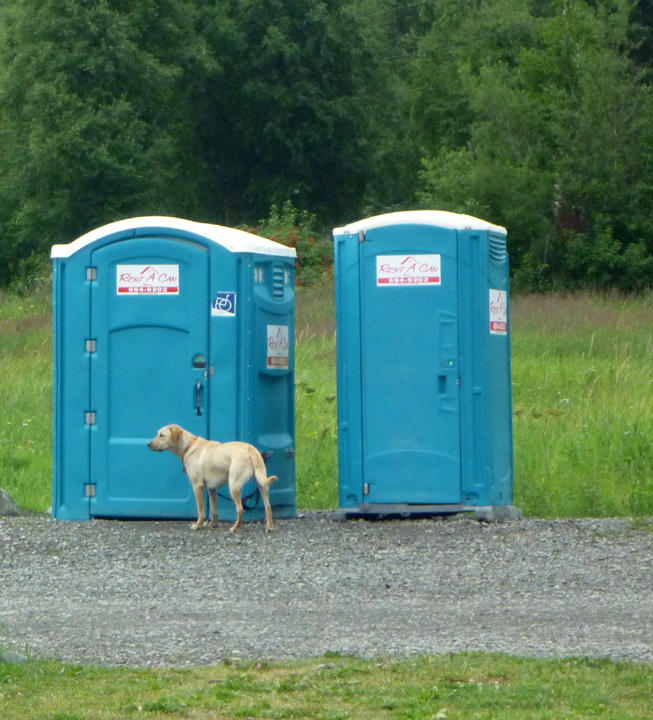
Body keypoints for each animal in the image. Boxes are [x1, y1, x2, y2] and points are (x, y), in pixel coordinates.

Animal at [148, 424, 278, 532]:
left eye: (162, 435)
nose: (148, 444)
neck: (189, 446)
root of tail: (250, 450)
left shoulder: (198, 486)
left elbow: (201, 510)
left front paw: (198, 525)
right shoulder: (212, 489)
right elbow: (214, 509)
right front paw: (214, 524)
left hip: (234, 485)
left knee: (240, 509)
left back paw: (235, 528)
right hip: (262, 485)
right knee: (268, 507)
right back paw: (270, 527)